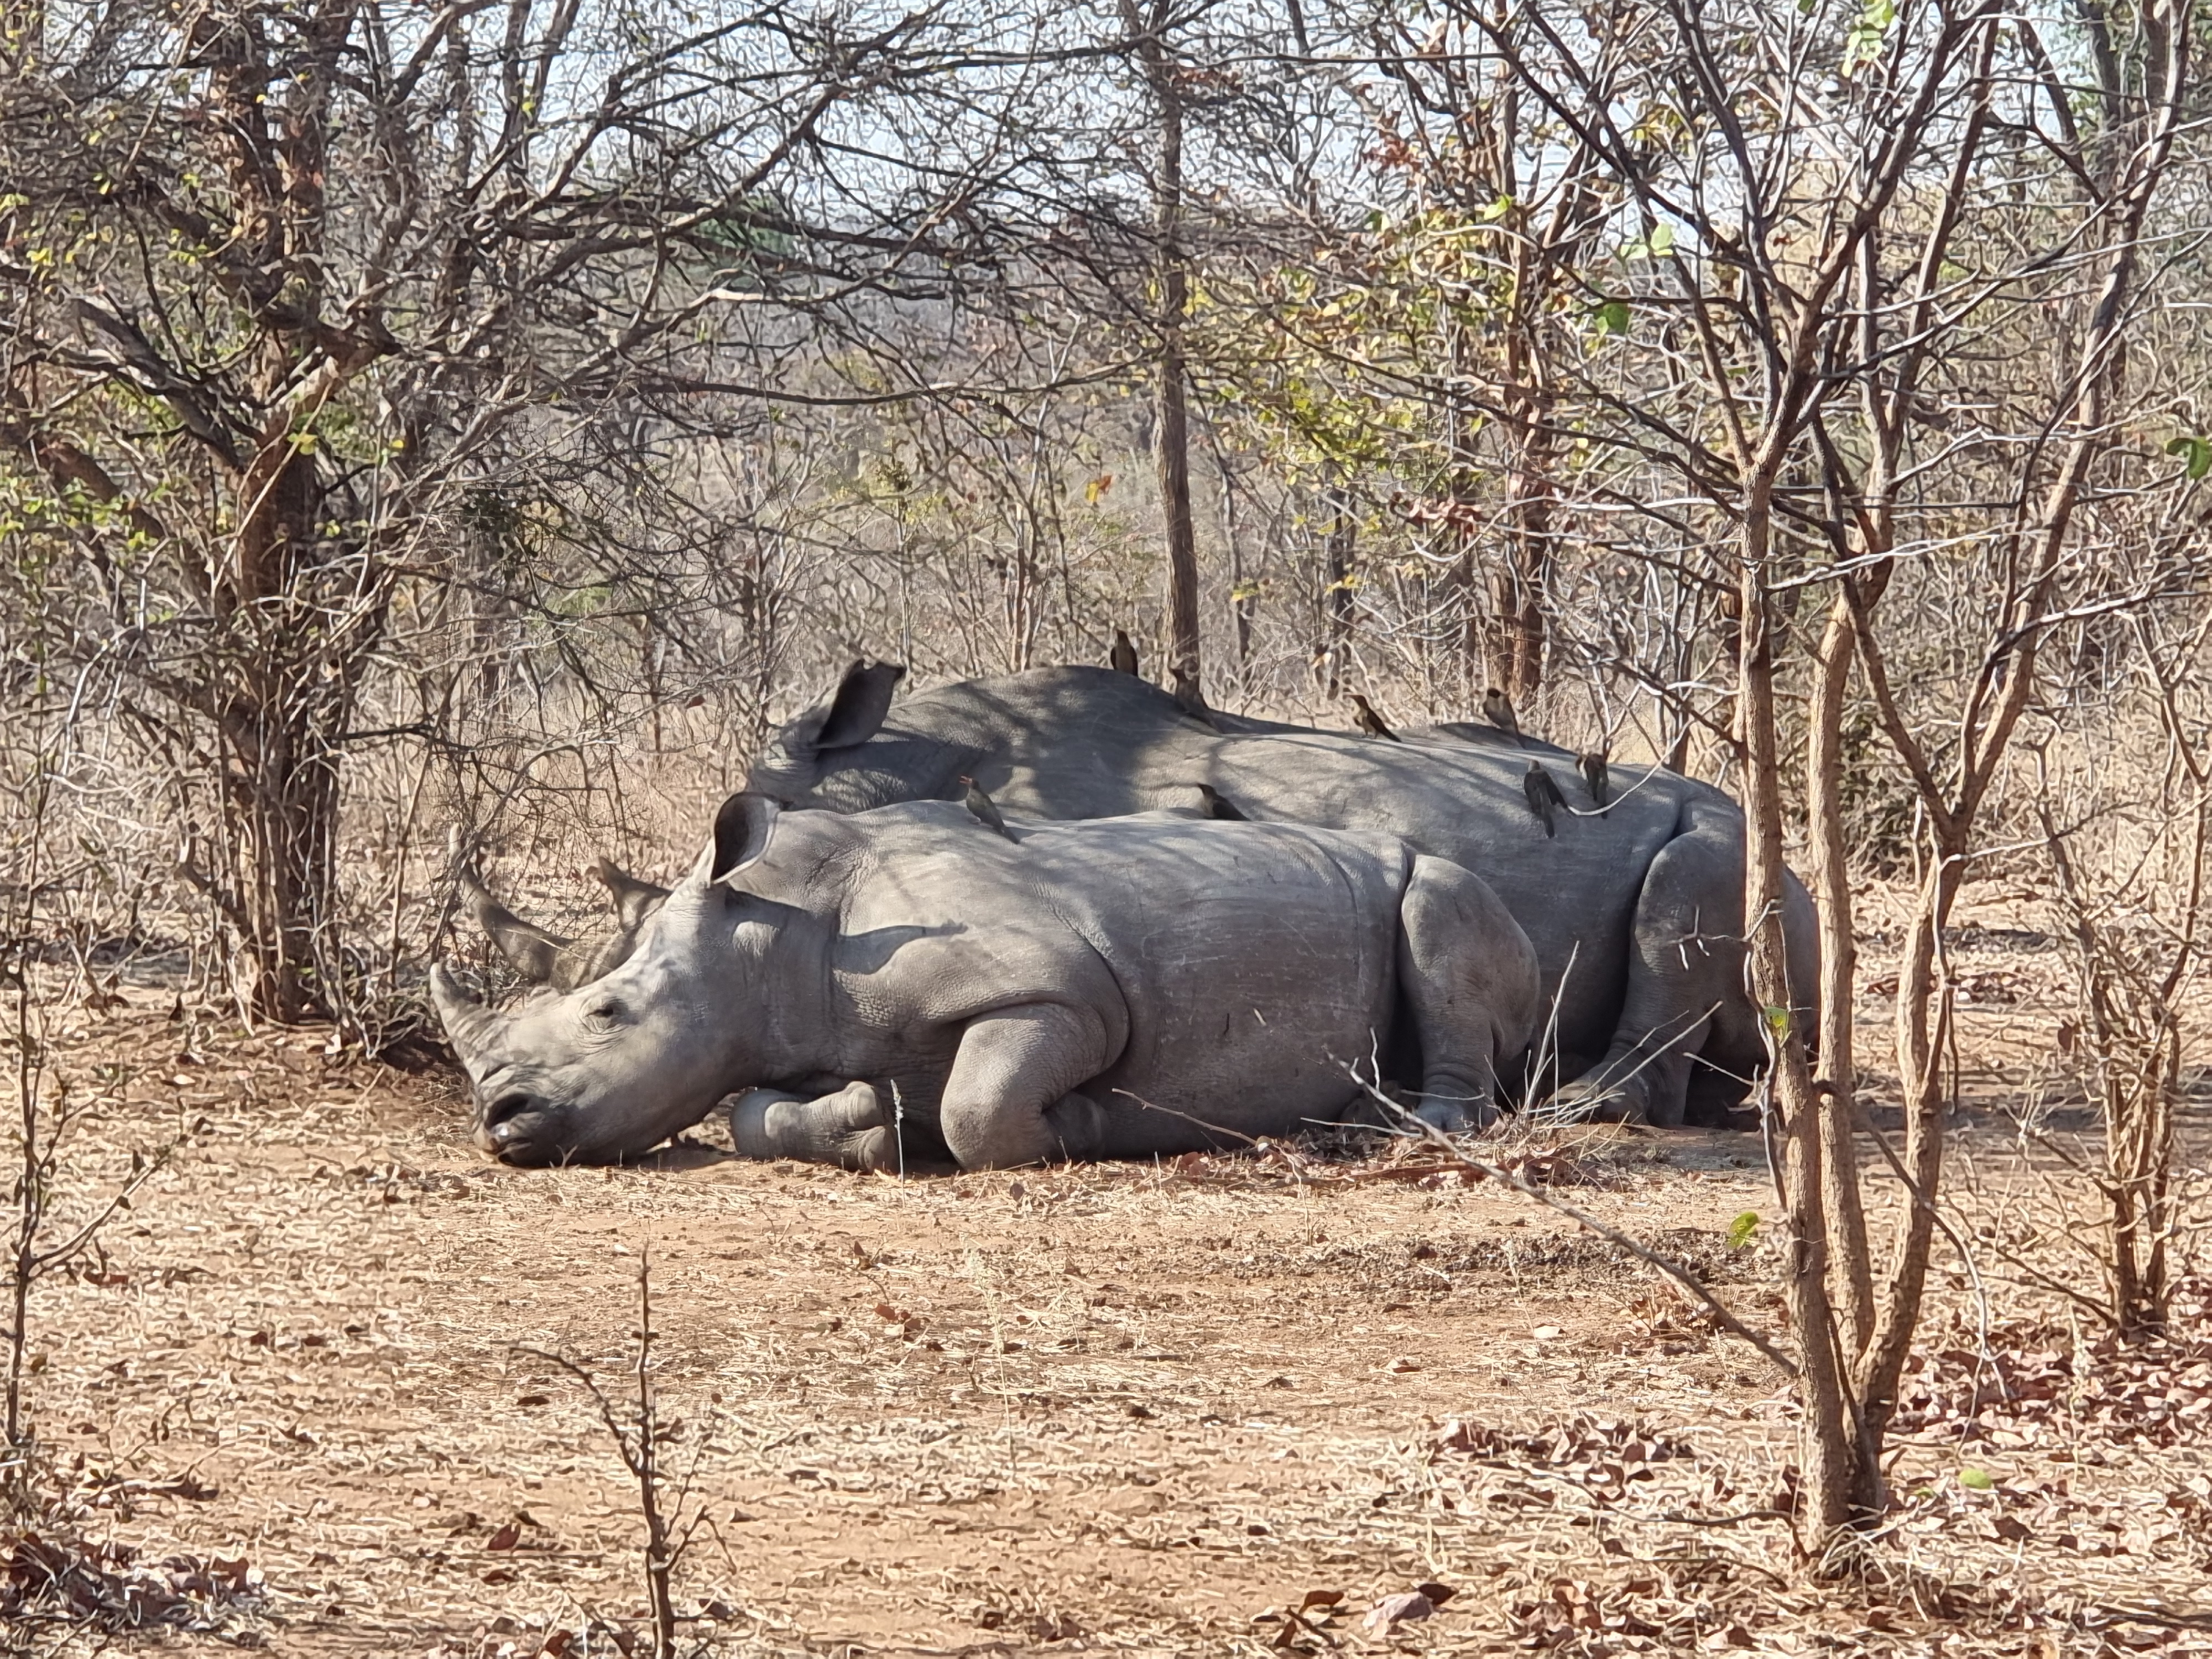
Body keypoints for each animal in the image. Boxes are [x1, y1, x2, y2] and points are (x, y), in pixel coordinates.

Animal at [431, 801, 1540, 1177]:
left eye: (606, 1014)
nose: (498, 1118)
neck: (767, 932)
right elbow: (751, 1114)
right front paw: (876, 1127)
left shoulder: (1062, 993)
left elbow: (982, 1107)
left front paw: (1089, 1125)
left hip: (1446, 879)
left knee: (1439, 901)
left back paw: (1404, 1130)